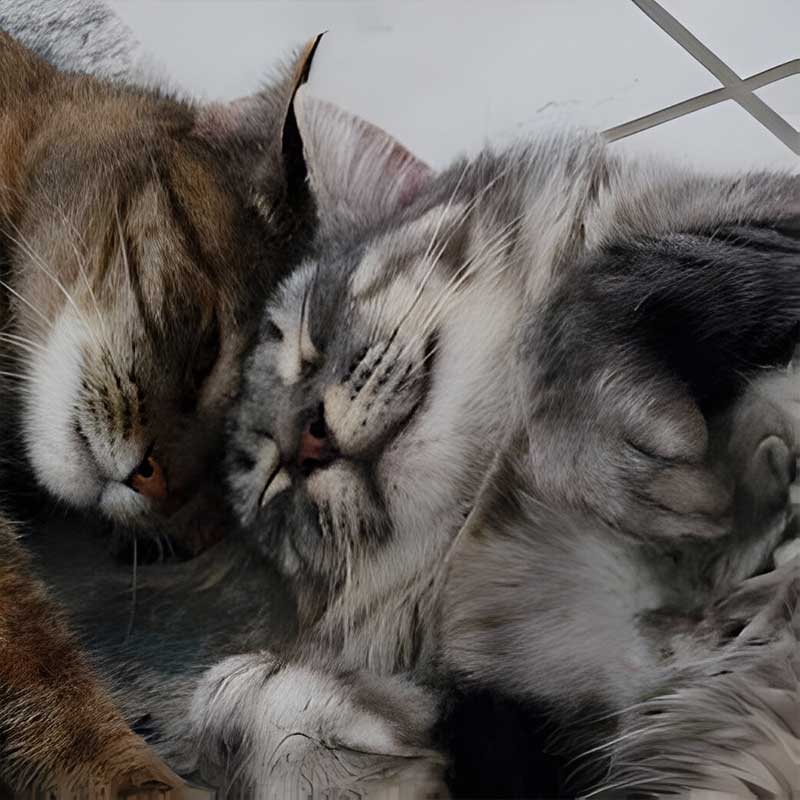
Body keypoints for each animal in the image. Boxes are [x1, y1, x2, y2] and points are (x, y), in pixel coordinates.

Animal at [200, 92, 800, 792]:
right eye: (272, 485)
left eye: (307, 338)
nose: (304, 443)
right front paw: (286, 720)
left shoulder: (763, 222)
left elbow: (589, 295)